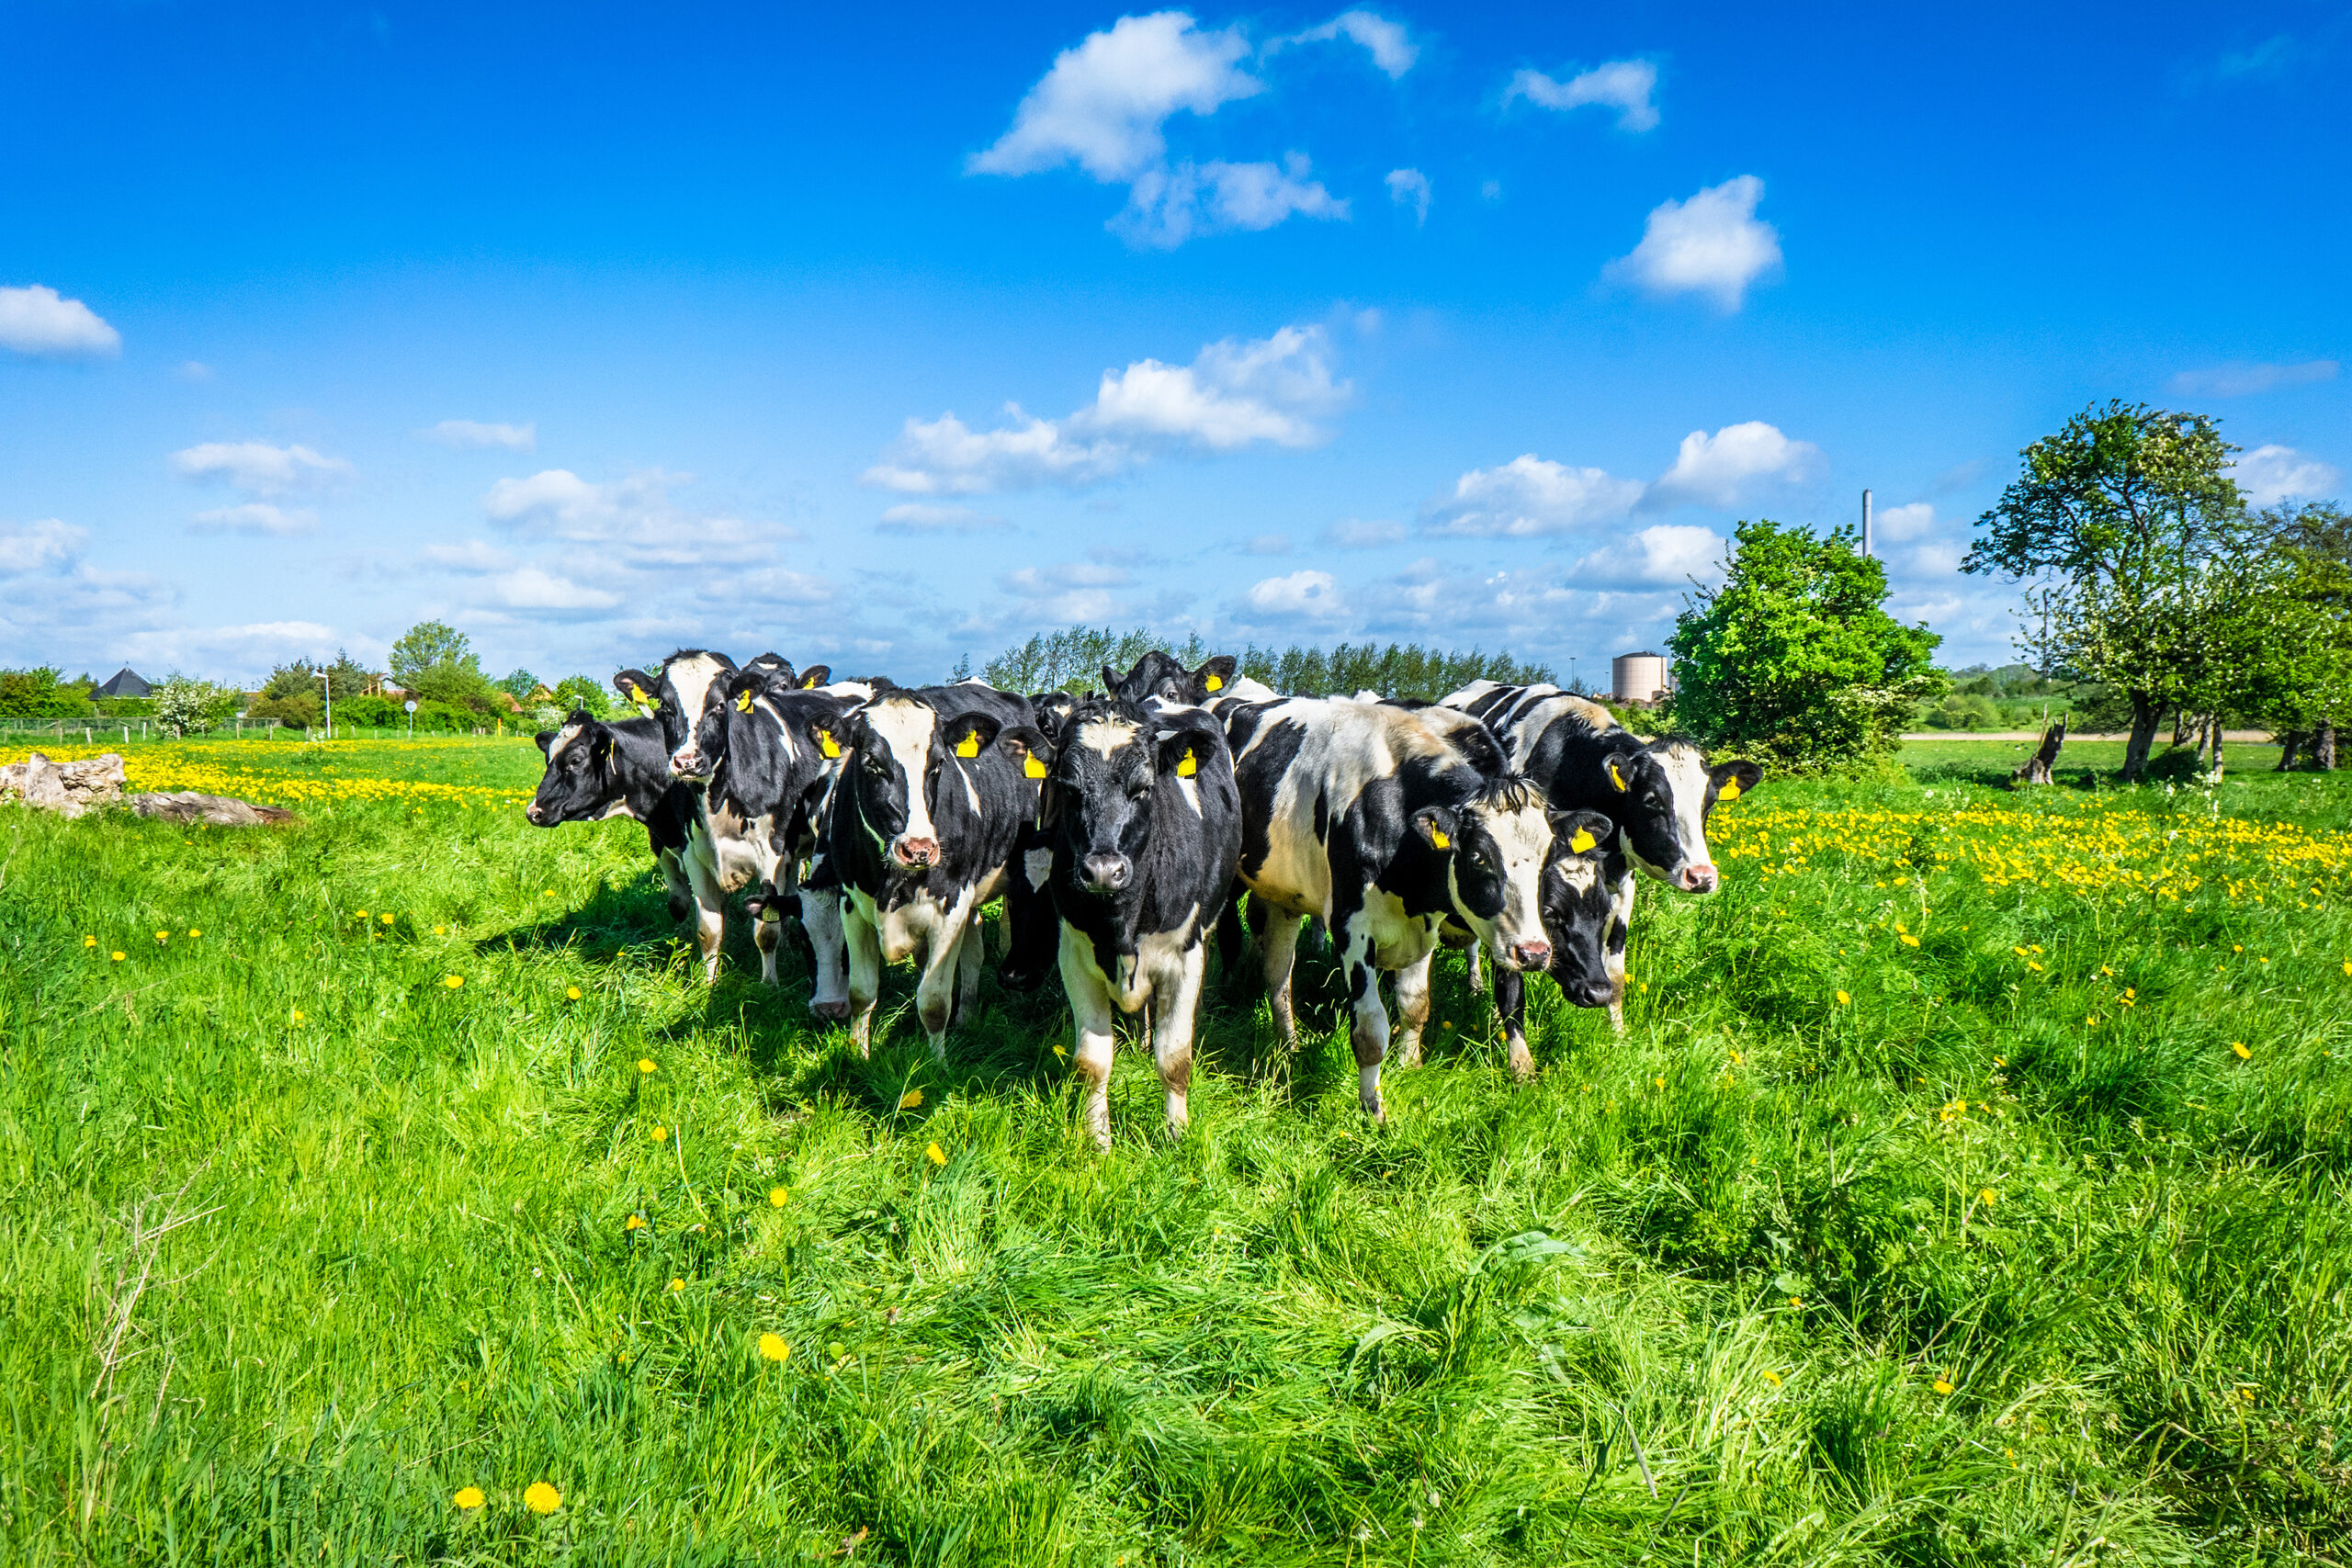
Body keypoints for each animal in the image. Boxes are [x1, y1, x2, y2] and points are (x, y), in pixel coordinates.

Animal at [824, 685, 1045, 1056]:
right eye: (871, 763)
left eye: (939, 763)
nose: (919, 849)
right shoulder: (851, 903)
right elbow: (861, 992)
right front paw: (858, 1053)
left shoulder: (950, 906)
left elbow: (934, 1001)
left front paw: (936, 1062)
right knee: (974, 948)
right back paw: (968, 1016)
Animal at [1012, 695, 1241, 1145]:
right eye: (1069, 788)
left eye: (1145, 788)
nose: (1103, 870)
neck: (1121, 922)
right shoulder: (1075, 957)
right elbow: (1092, 1062)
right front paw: (1097, 1139)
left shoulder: (1185, 958)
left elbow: (1175, 1058)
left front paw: (1176, 1134)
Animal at [1222, 694, 1592, 1122]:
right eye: (1479, 858)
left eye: (1549, 859)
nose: (1533, 953)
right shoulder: (1350, 927)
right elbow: (1370, 1030)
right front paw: (1373, 1110)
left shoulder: (1422, 924)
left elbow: (1416, 1006)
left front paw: (1410, 1066)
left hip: (1284, 897)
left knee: (1279, 975)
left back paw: (1289, 1048)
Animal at [1439, 680, 1761, 1032]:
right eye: (1652, 799)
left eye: (1710, 803)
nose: (1701, 876)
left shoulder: (1620, 883)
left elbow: (1616, 971)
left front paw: (1618, 1032)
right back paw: (1475, 985)